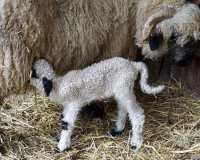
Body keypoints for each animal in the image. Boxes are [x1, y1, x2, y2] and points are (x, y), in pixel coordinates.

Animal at [29, 57, 164, 152]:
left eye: (34, 72)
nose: (33, 58)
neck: (58, 86)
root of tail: (133, 65)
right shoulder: (67, 106)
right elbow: (63, 120)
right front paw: (60, 139)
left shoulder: (73, 104)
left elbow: (67, 124)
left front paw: (61, 146)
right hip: (121, 90)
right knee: (123, 109)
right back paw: (117, 130)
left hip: (124, 87)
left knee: (137, 114)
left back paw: (136, 143)